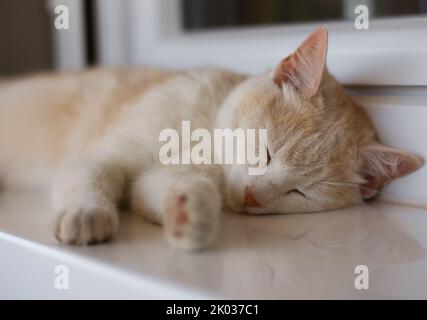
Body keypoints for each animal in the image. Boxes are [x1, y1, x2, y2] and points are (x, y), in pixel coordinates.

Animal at [0, 26, 424, 249]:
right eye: (265, 152)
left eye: (300, 193)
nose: (253, 198)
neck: (203, 127)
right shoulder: (105, 152)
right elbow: (93, 174)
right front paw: (84, 212)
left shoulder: (157, 176)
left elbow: (156, 189)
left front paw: (190, 214)